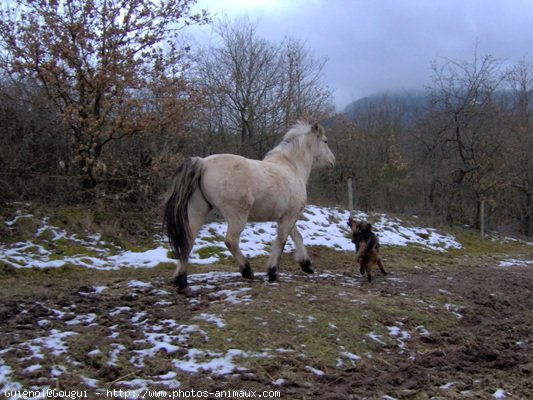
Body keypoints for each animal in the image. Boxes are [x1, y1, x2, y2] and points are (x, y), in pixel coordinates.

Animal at [164, 120, 334, 292]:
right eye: (325, 141)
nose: (332, 161)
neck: (292, 167)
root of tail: (203, 163)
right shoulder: (290, 216)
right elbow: (282, 241)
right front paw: (272, 273)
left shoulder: (285, 217)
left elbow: (297, 236)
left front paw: (306, 265)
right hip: (237, 216)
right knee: (231, 241)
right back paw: (247, 271)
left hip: (198, 211)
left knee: (188, 241)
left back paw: (181, 281)